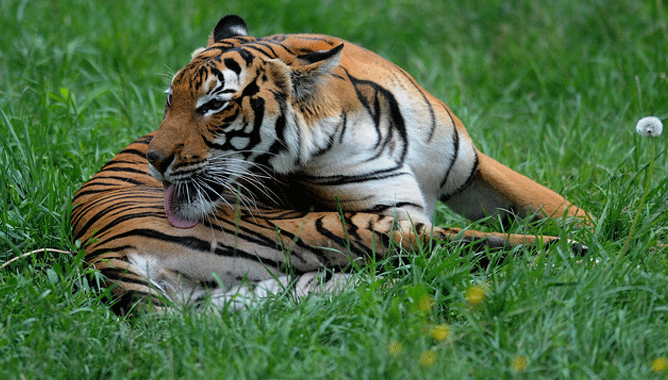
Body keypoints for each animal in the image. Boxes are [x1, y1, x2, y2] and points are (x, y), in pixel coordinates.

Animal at [69, 14, 588, 312]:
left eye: (214, 105)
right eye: (169, 101)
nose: (155, 161)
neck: (347, 115)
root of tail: (101, 254)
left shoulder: (470, 168)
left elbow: (563, 207)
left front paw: (596, 222)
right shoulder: (391, 211)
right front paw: (594, 241)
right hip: (329, 227)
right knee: (458, 252)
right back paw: (574, 254)